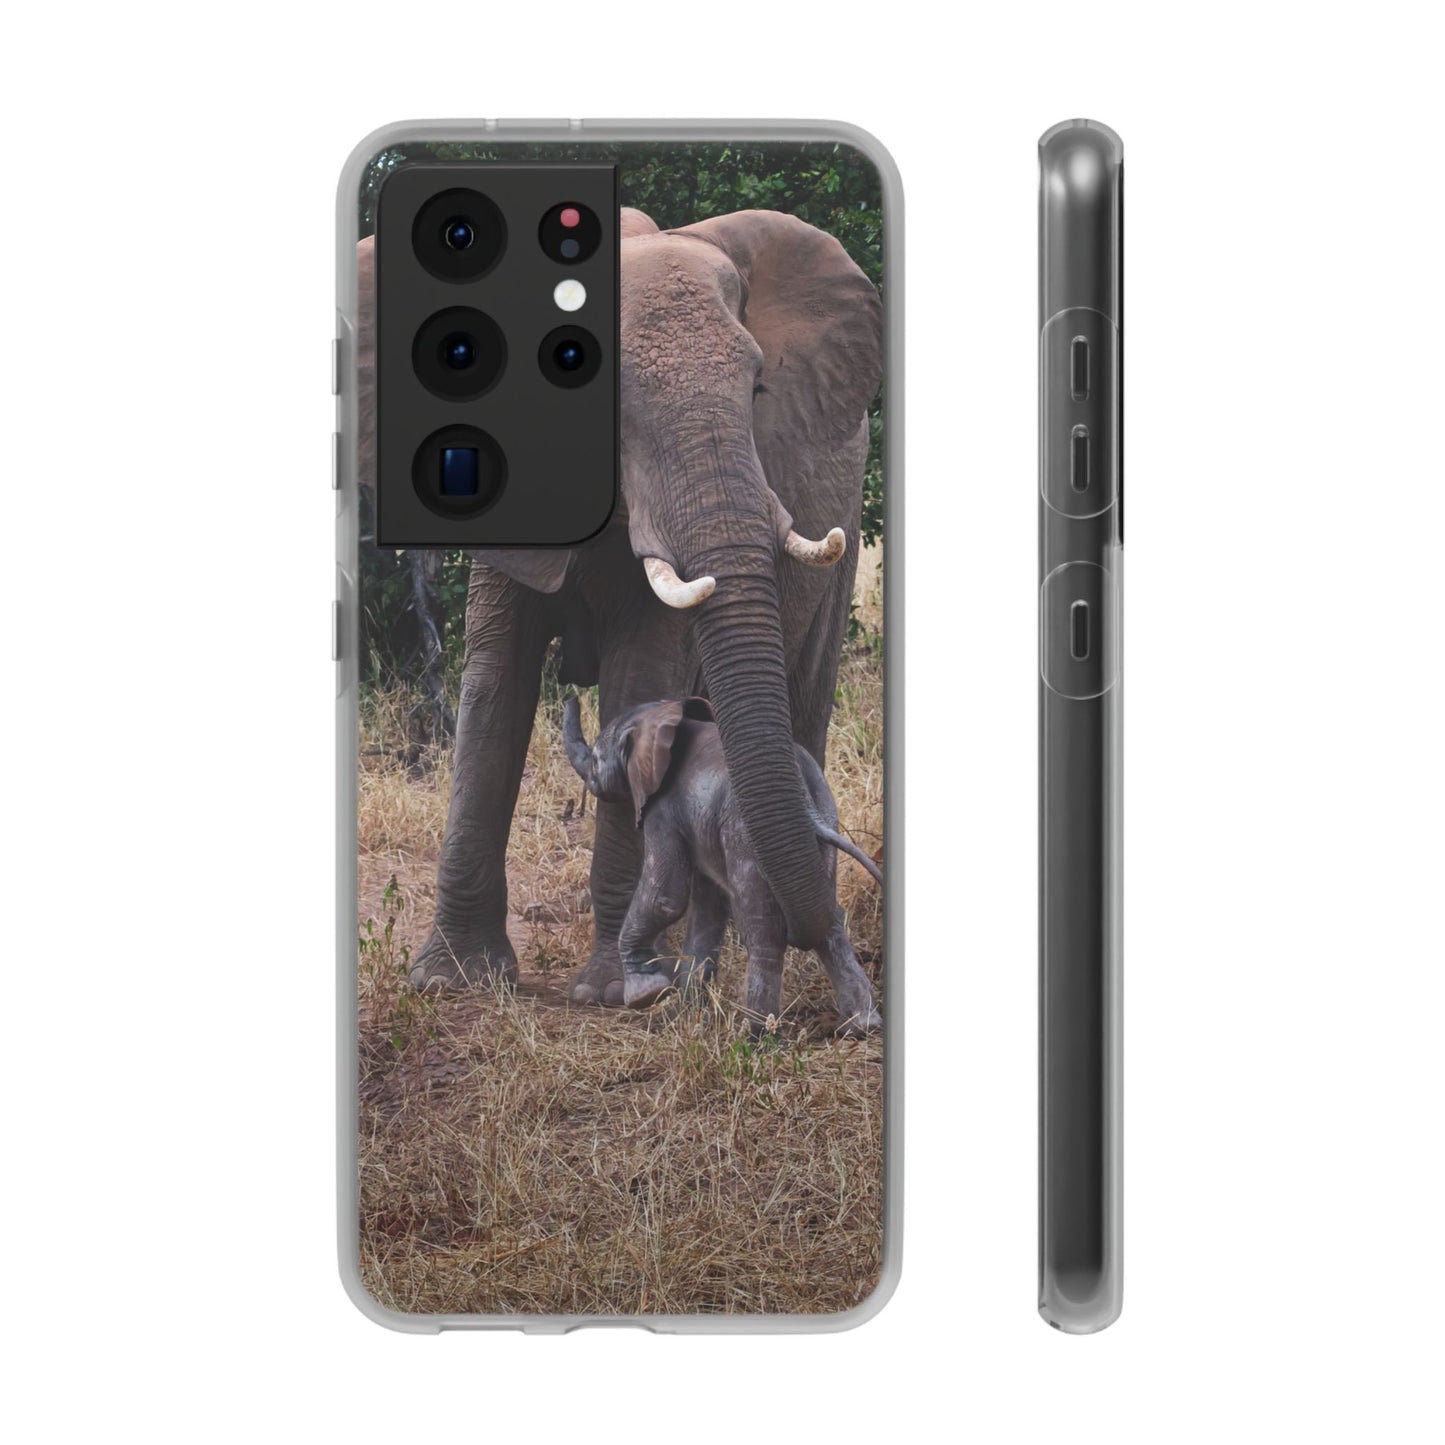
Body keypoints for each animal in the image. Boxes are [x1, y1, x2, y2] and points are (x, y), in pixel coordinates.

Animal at [561, 694, 882, 1033]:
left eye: (596, 760)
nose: (571, 697)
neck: (665, 717)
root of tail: (805, 801)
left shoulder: (663, 810)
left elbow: (666, 898)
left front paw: (645, 994)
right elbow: (707, 908)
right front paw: (687, 1017)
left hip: (744, 835)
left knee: (763, 928)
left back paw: (756, 1033)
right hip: (825, 818)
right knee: (830, 920)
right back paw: (862, 1026)